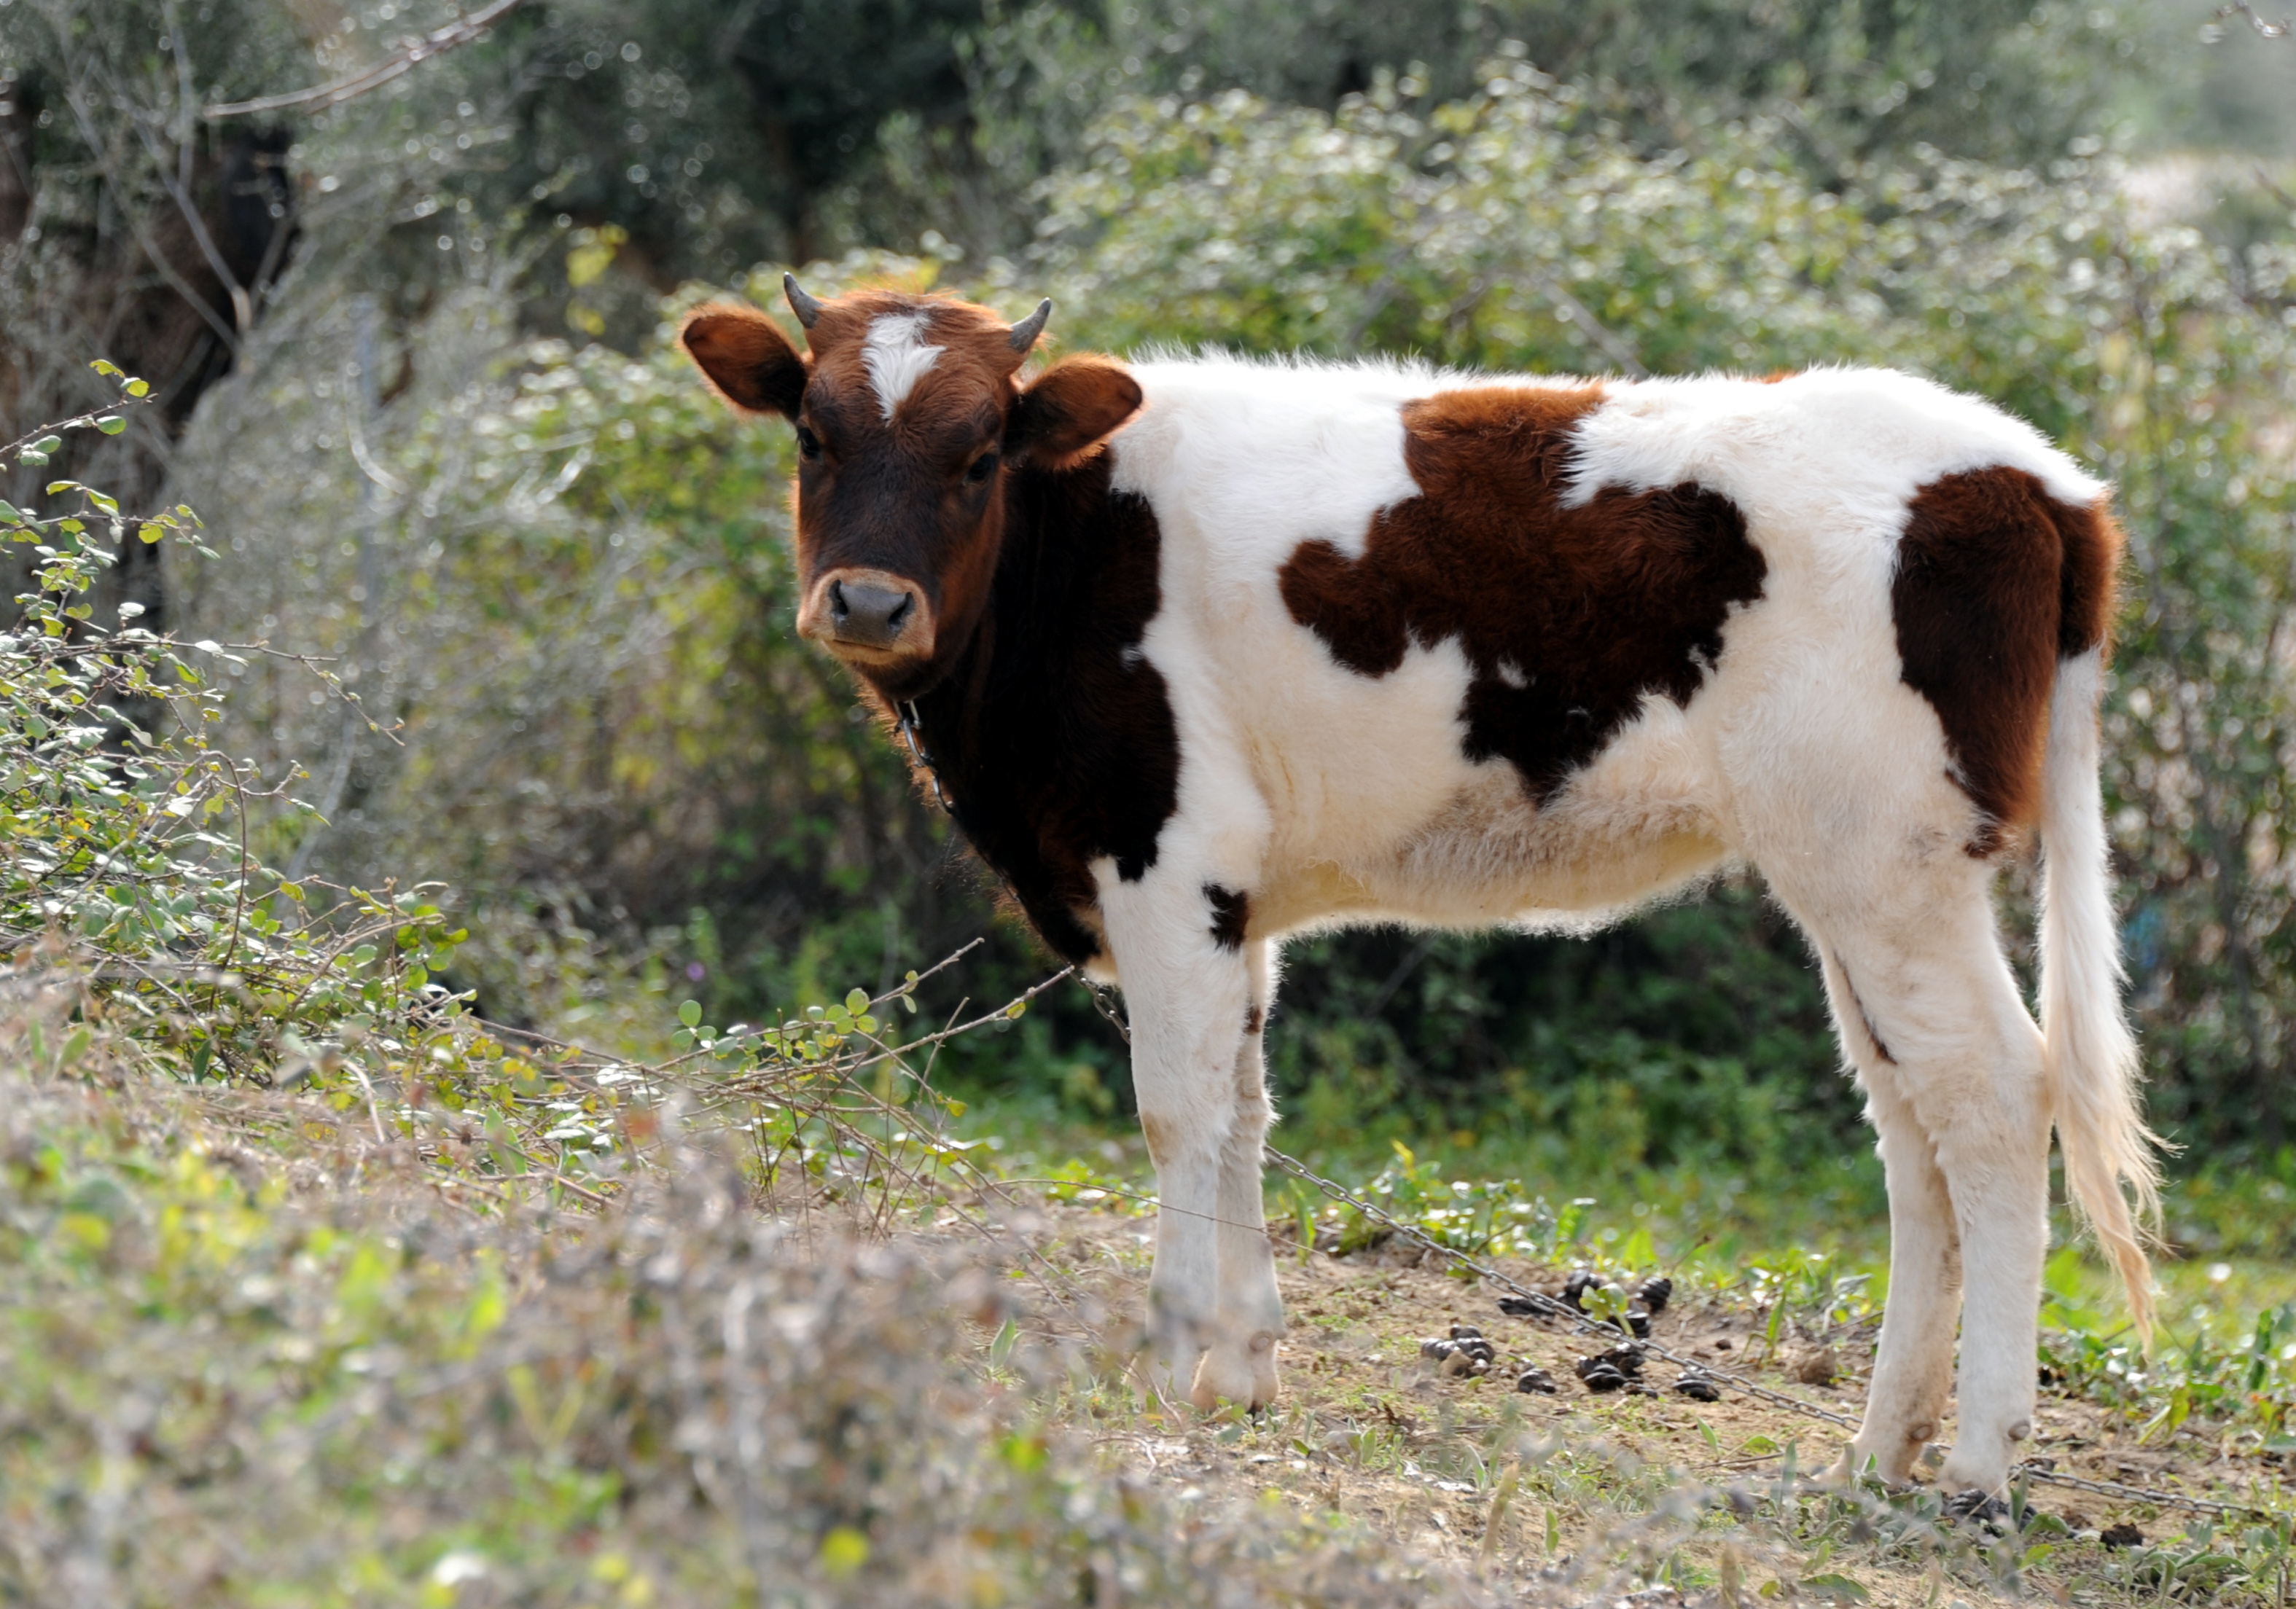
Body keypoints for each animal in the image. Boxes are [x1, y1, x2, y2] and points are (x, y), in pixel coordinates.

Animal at [679, 276, 2149, 1496]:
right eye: (811, 434)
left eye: (981, 451)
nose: (868, 603)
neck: (1070, 549)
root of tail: (2042, 477)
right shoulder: (1232, 891)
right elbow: (1244, 1109)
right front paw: (1241, 1367)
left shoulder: (1162, 852)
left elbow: (1172, 1113)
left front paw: (1163, 1360)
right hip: (1859, 879)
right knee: (1912, 1129)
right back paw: (1878, 1446)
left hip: (1884, 868)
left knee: (1993, 1099)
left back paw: (1977, 1460)